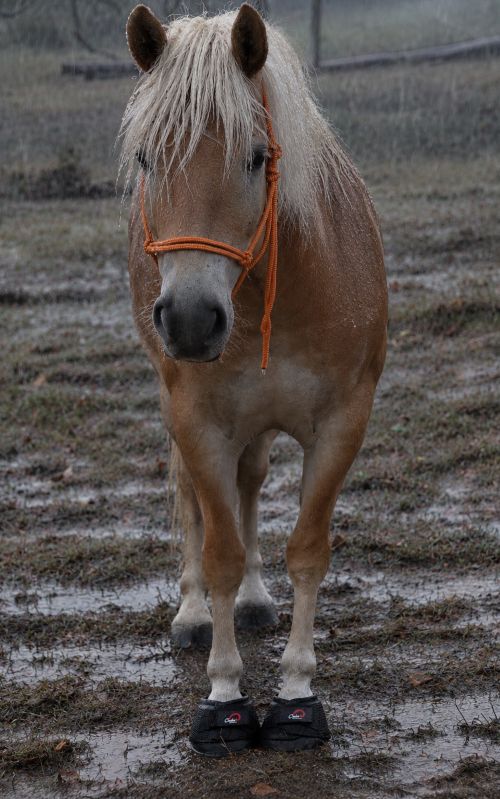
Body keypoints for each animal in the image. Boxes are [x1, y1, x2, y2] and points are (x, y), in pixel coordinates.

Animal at [121, 3, 387, 756]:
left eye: (256, 156)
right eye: (148, 158)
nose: (188, 318)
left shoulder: (342, 423)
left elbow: (307, 550)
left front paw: (297, 693)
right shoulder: (199, 421)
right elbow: (218, 552)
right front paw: (224, 697)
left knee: (252, 485)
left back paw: (257, 602)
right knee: (193, 499)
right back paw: (193, 616)